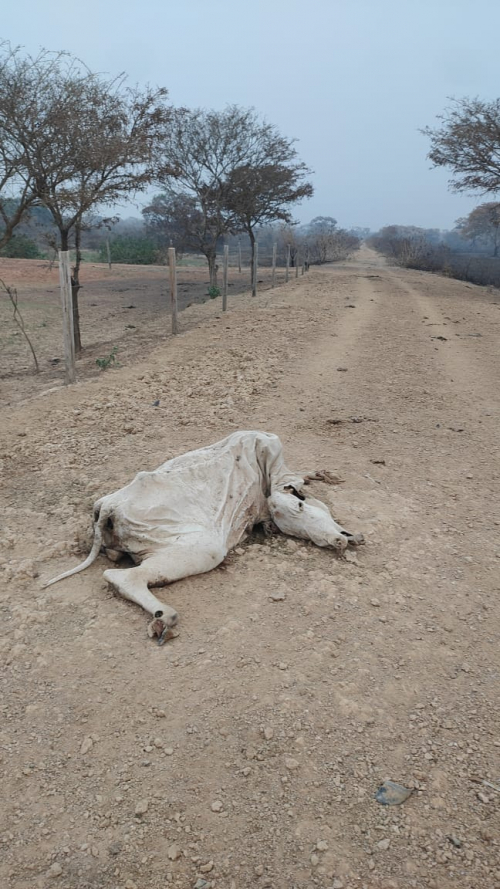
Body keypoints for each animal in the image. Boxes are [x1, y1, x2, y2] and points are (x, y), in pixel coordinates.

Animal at [44, 428, 364, 640]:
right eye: (298, 505)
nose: (340, 540)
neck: (267, 473)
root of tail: (108, 505)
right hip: (202, 547)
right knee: (121, 577)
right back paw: (164, 617)